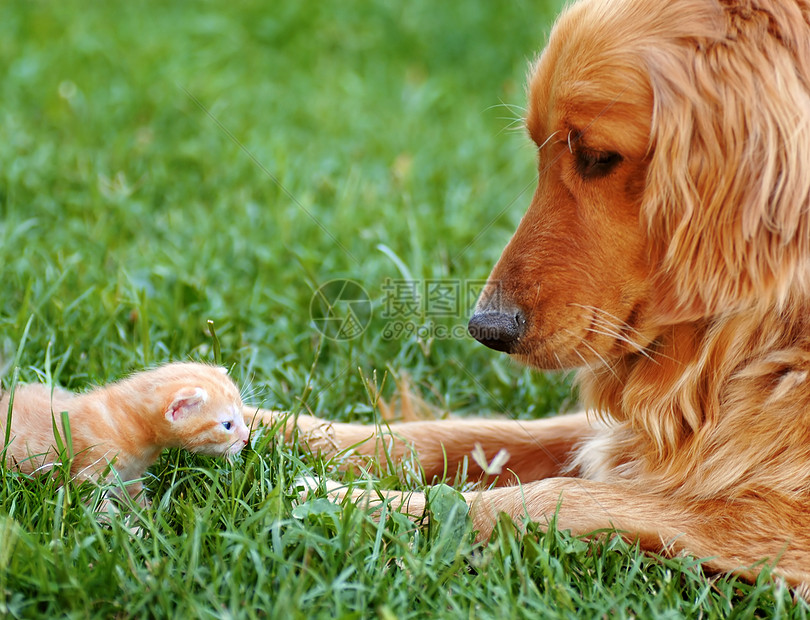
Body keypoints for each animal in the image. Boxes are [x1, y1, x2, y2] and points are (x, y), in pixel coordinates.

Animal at [0, 364, 249, 504]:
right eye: (227, 425)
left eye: (240, 416)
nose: (247, 438)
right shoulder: (91, 474)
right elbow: (96, 506)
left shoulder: (130, 476)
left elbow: (136, 499)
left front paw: (147, 523)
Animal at [256, 0, 808, 592]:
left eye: (596, 156)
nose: (486, 329)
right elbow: (467, 432)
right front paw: (275, 429)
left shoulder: (775, 517)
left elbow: (543, 498)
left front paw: (351, 502)